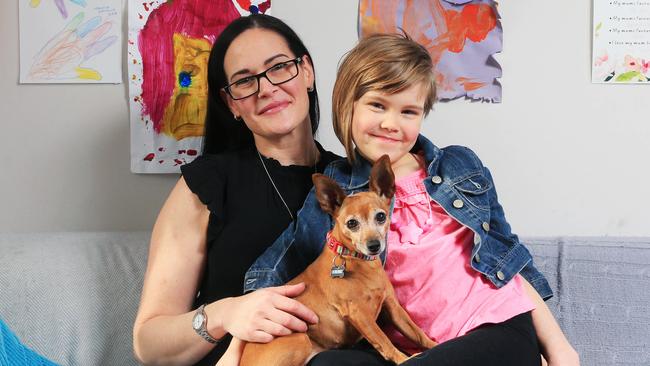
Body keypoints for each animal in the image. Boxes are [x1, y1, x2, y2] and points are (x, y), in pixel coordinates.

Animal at [238, 156, 436, 364]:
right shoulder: (358, 313)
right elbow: (384, 340)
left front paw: (433, 345)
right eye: (352, 223)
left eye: (381, 216)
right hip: (300, 338)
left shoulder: (393, 308)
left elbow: (418, 334)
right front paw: (403, 359)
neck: (357, 261)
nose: (374, 245)